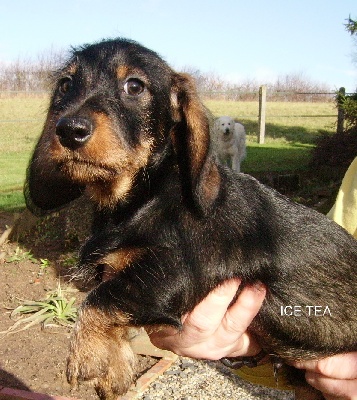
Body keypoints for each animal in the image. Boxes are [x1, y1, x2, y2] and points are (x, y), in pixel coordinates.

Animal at [25, 38, 356, 400]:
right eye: (65, 85)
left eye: (134, 86)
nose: (69, 129)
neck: (142, 197)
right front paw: (113, 370)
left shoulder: (175, 271)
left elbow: (100, 298)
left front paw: (87, 356)